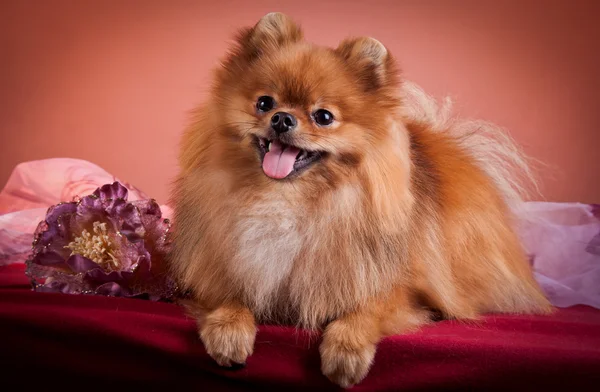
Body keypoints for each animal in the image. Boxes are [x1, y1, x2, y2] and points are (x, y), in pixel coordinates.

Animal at [168, 13, 548, 388]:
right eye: (264, 103)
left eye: (323, 116)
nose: (282, 118)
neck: (286, 197)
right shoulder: (224, 263)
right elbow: (228, 294)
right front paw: (227, 329)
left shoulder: (397, 287)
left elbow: (365, 309)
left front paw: (346, 349)